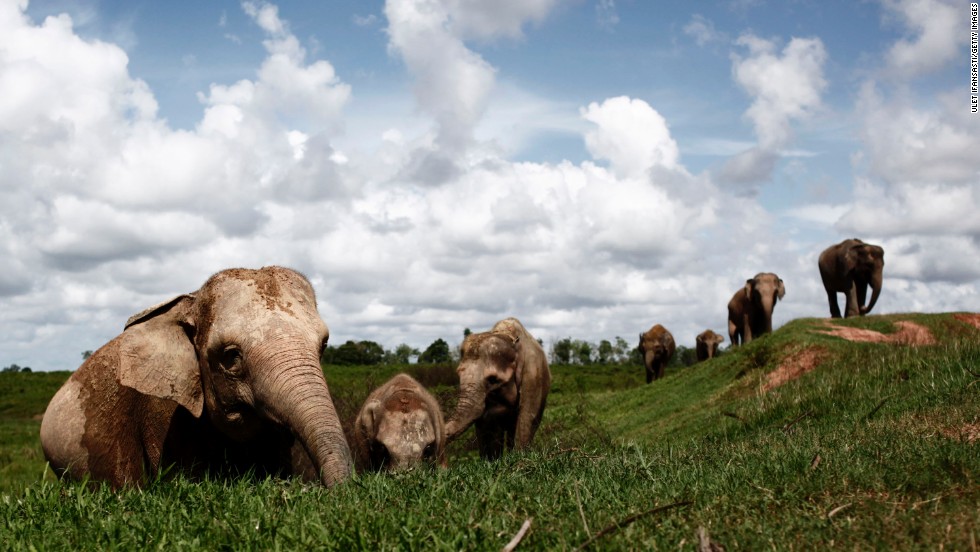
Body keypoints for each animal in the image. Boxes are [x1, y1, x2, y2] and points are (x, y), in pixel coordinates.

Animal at [444, 316, 552, 460]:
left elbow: (527, 418)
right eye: (458, 374)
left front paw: (519, 458)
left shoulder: (533, 377)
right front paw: (493, 461)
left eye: (493, 379)